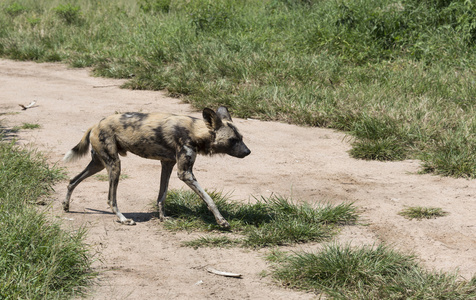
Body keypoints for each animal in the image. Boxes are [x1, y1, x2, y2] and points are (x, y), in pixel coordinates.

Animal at [62, 106, 253, 227]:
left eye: (241, 138)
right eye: (232, 140)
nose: (248, 151)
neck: (196, 131)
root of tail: (95, 124)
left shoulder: (167, 164)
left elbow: (162, 196)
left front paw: (163, 218)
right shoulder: (185, 173)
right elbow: (209, 199)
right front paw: (221, 221)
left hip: (99, 164)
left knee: (72, 181)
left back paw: (66, 206)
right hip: (114, 166)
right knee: (111, 198)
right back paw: (123, 219)